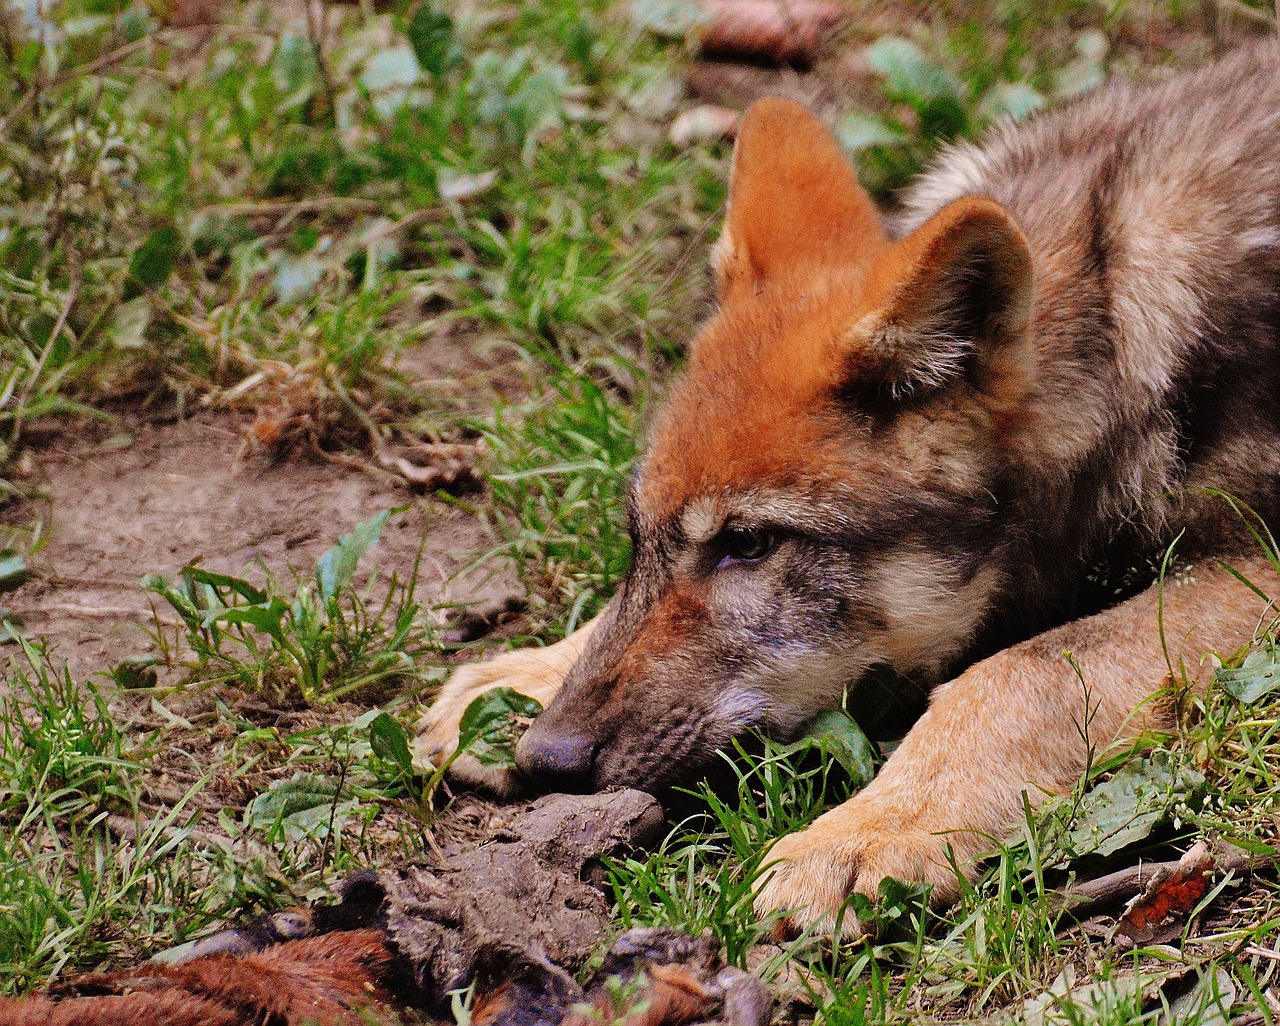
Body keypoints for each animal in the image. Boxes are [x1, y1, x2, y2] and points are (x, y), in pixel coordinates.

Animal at [417, 41, 1280, 936]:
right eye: (637, 537)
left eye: (748, 543)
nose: (545, 756)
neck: (1118, 326)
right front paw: (522, 675)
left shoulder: (1255, 560)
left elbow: (1012, 674)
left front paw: (865, 833)